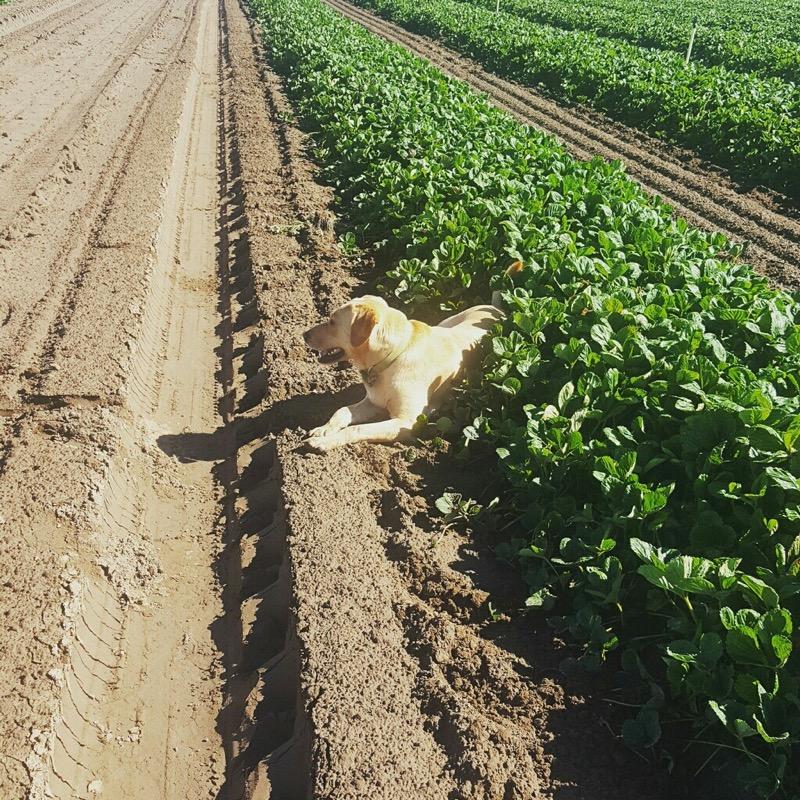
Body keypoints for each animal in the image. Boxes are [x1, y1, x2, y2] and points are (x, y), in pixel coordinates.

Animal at [304, 296, 504, 454]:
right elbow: (342, 410)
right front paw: (324, 429)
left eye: (332, 322)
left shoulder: (405, 422)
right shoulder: (374, 403)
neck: (392, 356)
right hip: (445, 323)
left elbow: (357, 429)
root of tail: (496, 308)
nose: (304, 334)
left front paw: (325, 442)